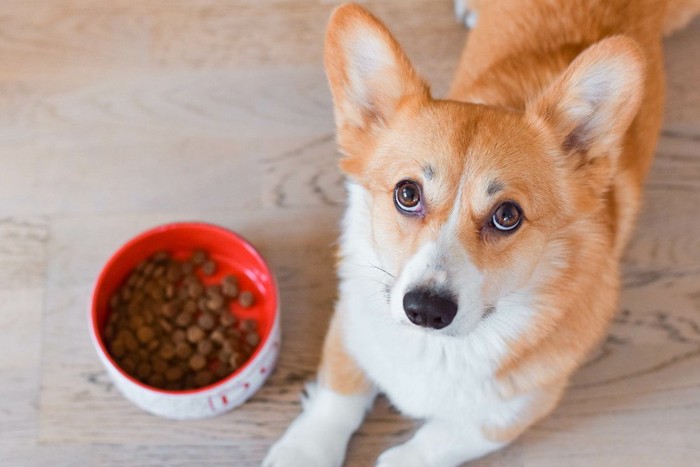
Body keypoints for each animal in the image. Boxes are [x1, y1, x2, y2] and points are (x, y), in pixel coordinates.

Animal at [264, 0, 700, 467]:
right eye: (407, 193)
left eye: (507, 215)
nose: (425, 310)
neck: (438, 350)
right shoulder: (351, 325)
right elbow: (336, 398)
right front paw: (302, 452)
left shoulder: (508, 413)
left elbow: (426, 445)